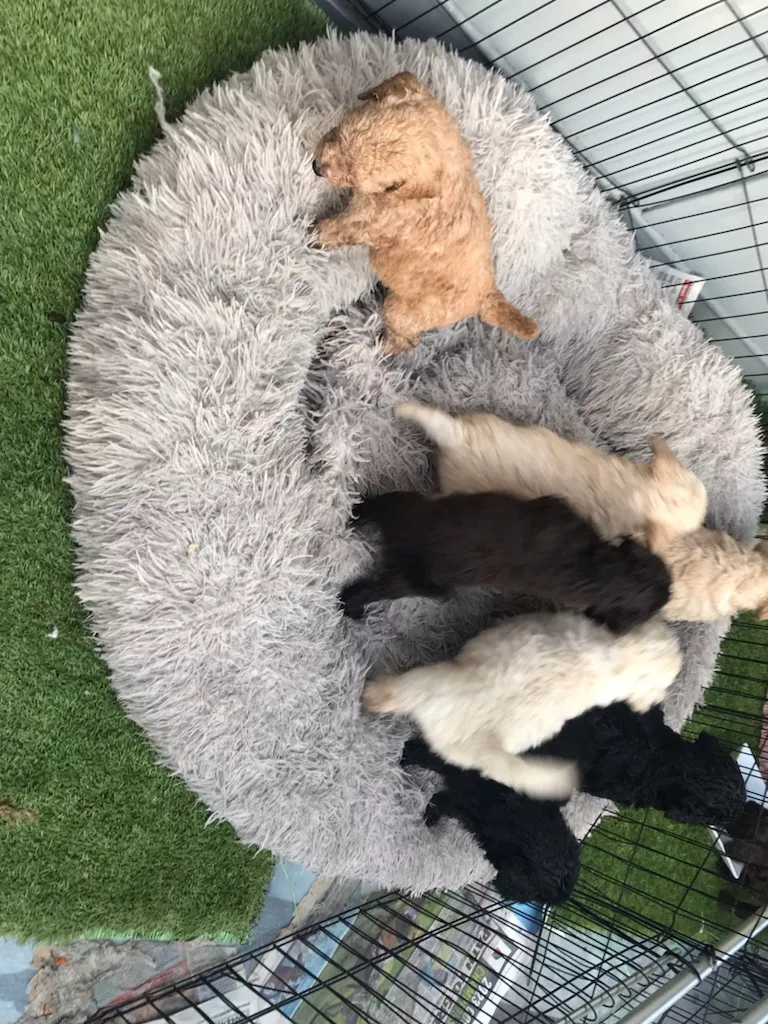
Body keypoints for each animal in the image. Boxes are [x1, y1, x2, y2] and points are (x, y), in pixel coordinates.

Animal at [312, 72, 538, 354]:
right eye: (337, 133)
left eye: (352, 175)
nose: (316, 167)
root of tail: (487, 295)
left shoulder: (371, 221)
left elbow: (340, 228)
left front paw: (315, 234)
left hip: (404, 311)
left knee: (407, 339)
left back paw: (378, 346)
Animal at [341, 490, 670, 635]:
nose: (670, 593)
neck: (604, 568)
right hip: (410, 558)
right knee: (367, 589)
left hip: (405, 514)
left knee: (378, 506)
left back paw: (355, 515)